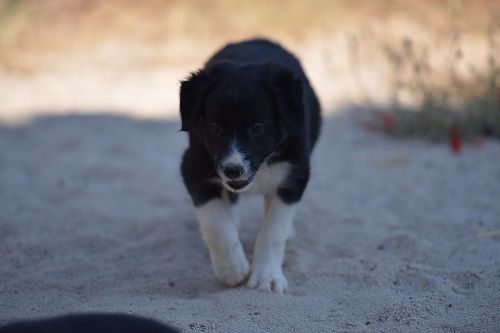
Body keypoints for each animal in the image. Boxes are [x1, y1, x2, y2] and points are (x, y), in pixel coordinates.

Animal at [180, 39, 320, 292]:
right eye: (215, 127)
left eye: (257, 128)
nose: (232, 170)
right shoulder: (193, 167)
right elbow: (216, 222)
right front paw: (231, 269)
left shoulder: (294, 176)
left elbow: (274, 231)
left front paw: (267, 277)